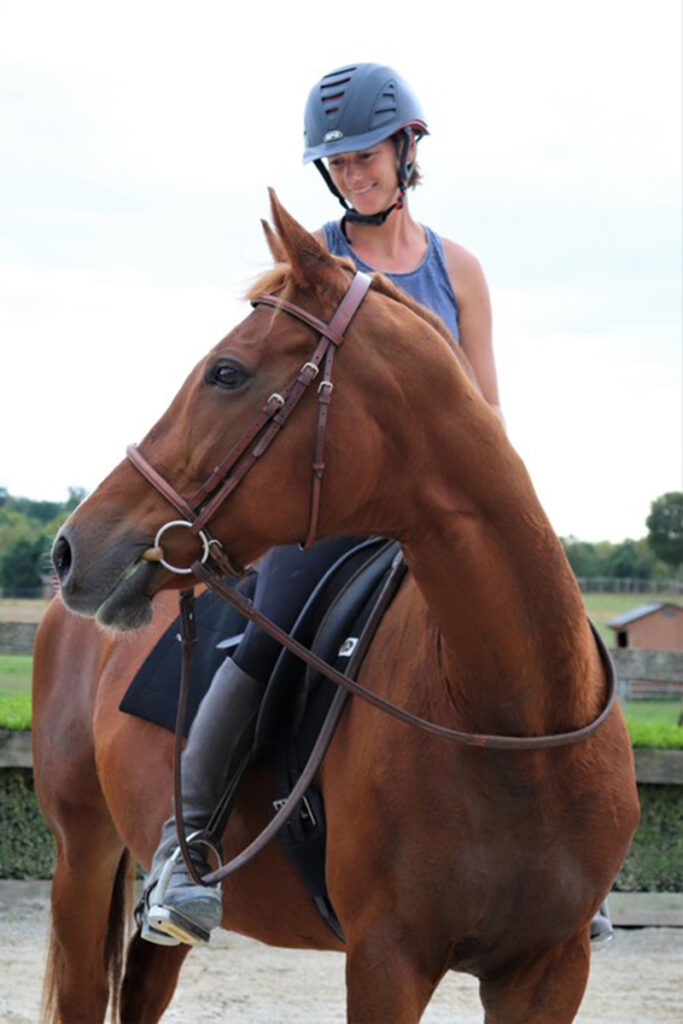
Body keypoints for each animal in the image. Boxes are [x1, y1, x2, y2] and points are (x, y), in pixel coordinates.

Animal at [34, 188, 638, 1019]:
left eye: (225, 373)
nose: (70, 548)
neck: (511, 722)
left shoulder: (549, 970)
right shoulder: (386, 960)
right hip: (82, 852)